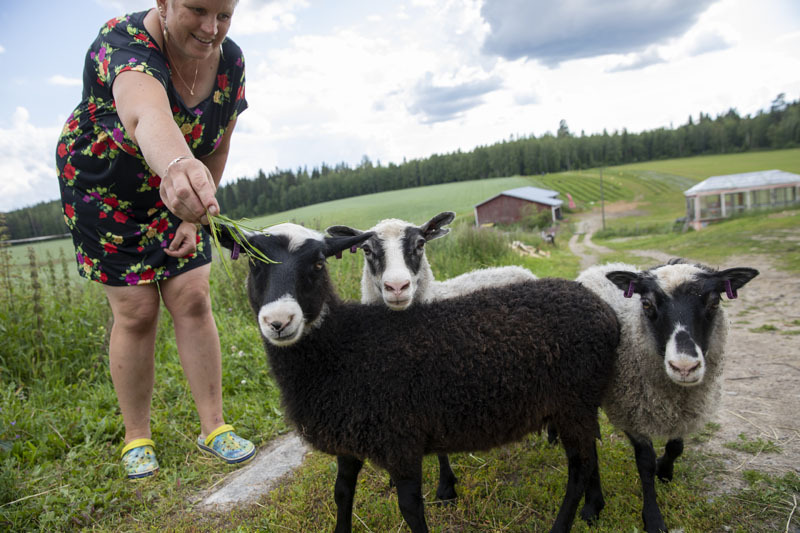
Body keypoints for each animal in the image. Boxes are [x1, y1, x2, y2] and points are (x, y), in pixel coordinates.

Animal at [580, 258, 760, 532]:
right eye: (646, 304)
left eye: (714, 302)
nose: (684, 367)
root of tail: (601, 267)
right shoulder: (631, 411)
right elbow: (645, 463)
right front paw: (653, 517)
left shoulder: (684, 410)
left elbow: (677, 447)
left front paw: (664, 472)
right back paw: (592, 503)